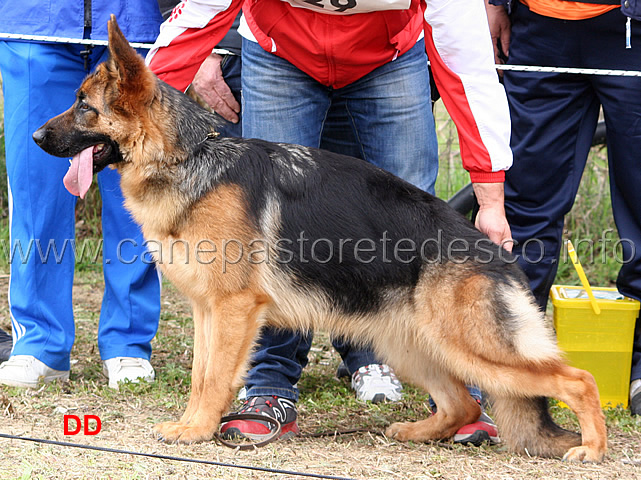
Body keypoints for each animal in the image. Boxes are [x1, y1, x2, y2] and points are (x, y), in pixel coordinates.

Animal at [33, 16, 604, 464]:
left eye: (83, 105)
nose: (36, 137)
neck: (189, 158)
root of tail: (495, 254)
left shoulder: (234, 309)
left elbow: (216, 377)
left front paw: (197, 431)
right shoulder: (205, 311)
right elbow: (200, 375)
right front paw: (193, 424)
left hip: (470, 347)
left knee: (577, 379)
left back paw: (591, 449)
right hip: (411, 348)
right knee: (463, 402)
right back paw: (418, 432)